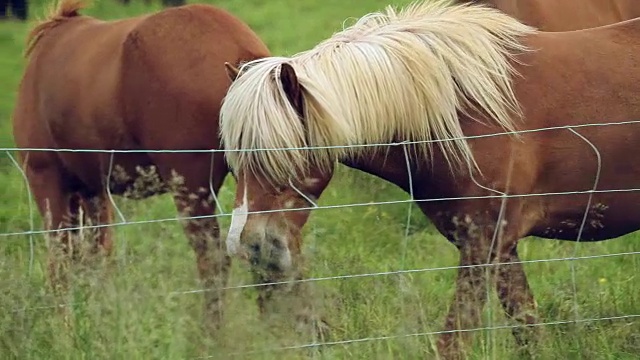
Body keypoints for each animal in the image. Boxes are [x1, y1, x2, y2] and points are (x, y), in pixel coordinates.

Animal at [13, 0, 268, 332]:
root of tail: (237, 47)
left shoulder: (46, 180)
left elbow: (62, 261)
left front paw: (67, 328)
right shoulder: (93, 190)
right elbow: (96, 256)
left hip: (190, 189)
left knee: (214, 261)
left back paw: (212, 334)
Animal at [218, 1, 640, 358]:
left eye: (282, 152)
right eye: (234, 161)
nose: (250, 245)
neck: (462, 113)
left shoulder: (483, 243)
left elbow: (453, 342)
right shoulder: (501, 247)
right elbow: (526, 328)